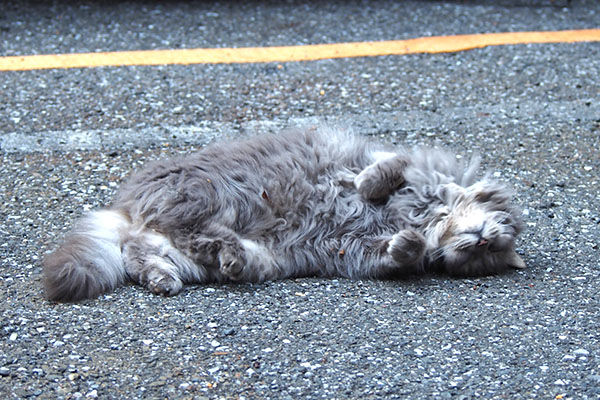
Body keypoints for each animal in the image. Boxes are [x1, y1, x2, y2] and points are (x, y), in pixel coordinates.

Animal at [42, 126, 524, 302]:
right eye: (490, 241)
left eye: (487, 255)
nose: (481, 239)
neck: (422, 216)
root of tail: (125, 206)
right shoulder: (391, 163)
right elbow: (387, 169)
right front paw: (374, 188)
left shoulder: (355, 250)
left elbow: (396, 253)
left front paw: (410, 244)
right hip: (199, 196)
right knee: (174, 234)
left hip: (230, 255)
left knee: (143, 252)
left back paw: (178, 274)